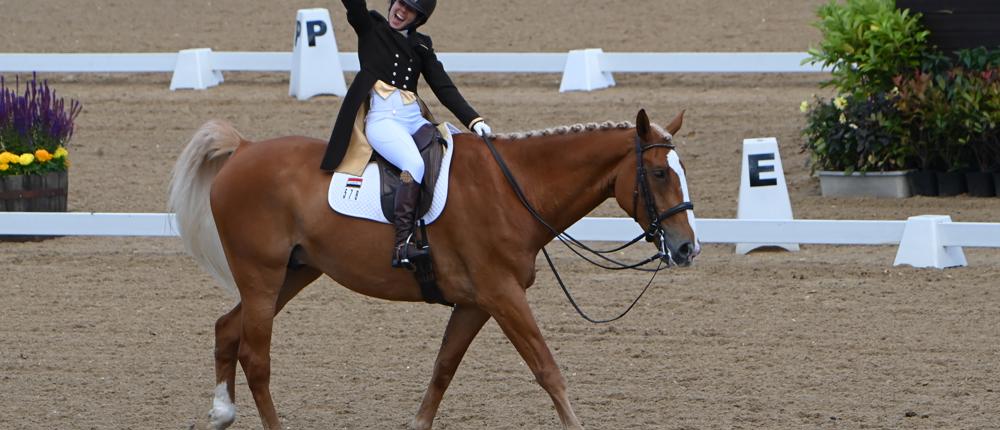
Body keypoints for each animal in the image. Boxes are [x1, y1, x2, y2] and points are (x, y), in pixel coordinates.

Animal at [170, 107, 696, 426]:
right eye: (658, 173)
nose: (687, 248)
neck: (512, 190)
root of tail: (244, 148)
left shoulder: (478, 303)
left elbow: (442, 370)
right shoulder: (503, 295)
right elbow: (548, 370)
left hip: (292, 274)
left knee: (227, 329)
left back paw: (222, 413)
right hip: (262, 276)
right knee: (256, 357)